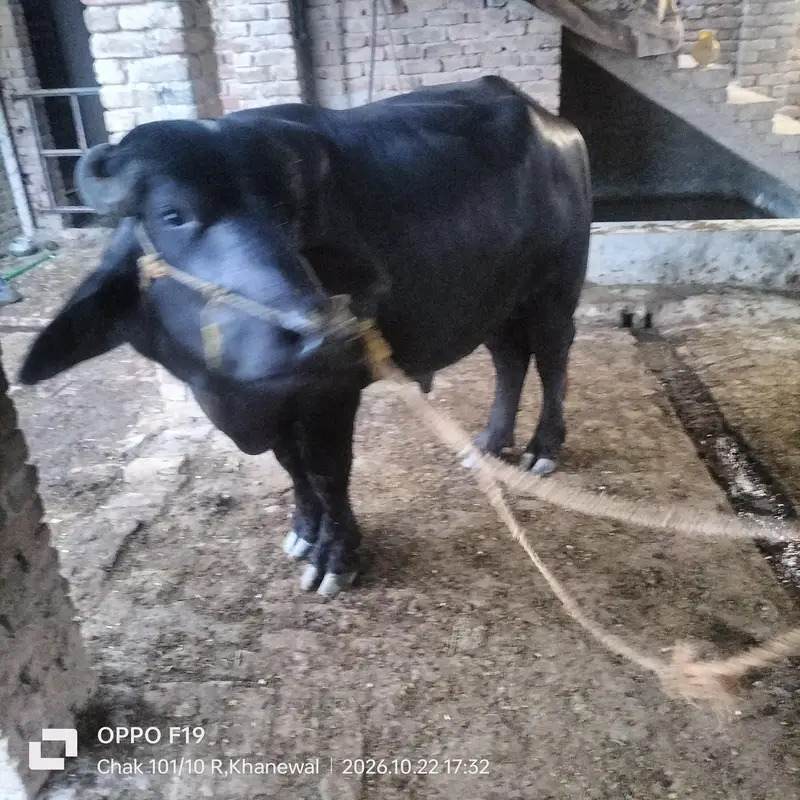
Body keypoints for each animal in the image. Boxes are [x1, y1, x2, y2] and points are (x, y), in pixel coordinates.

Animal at [19, 76, 592, 597]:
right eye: (172, 215)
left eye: (287, 216)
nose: (323, 336)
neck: (227, 387)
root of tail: (558, 129)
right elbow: (291, 466)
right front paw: (304, 532)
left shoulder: (330, 392)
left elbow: (326, 471)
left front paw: (335, 556)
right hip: (497, 301)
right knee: (509, 359)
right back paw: (490, 442)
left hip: (555, 288)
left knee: (552, 358)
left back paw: (542, 448)